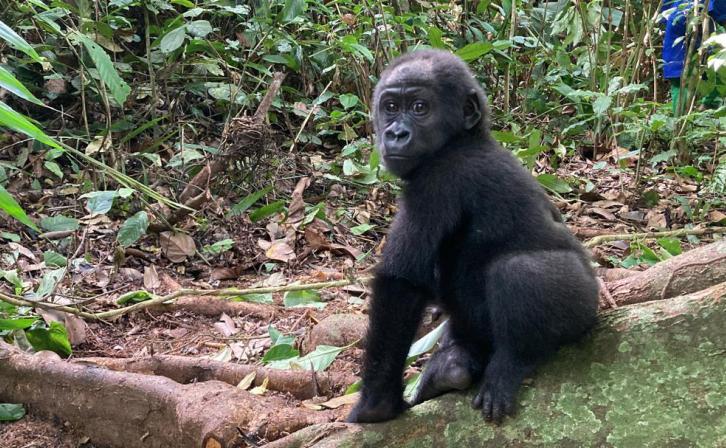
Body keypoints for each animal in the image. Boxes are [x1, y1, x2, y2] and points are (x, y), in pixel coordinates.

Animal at [350, 50, 600, 426]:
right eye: (390, 107)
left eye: (420, 108)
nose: (395, 133)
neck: (465, 138)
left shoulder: (437, 180)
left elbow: (402, 283)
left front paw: (375, 405)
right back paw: (453, 366)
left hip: (585, 305)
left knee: (519, 271)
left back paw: (512, 362)